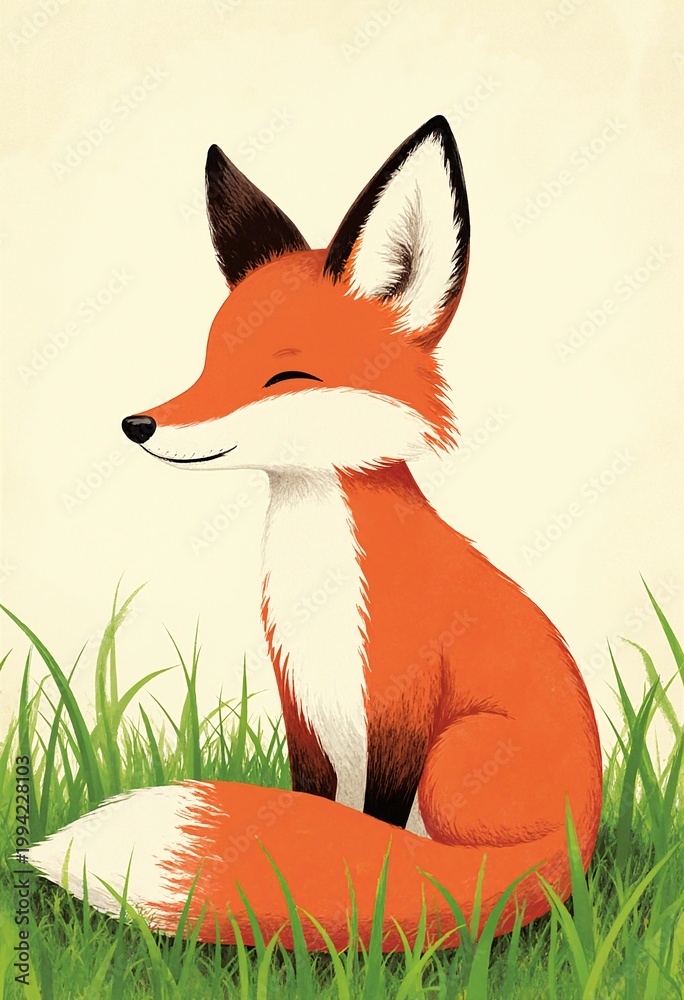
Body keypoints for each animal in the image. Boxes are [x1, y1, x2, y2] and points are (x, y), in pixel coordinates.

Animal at [29, 116, 602, 951]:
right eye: (209, 362)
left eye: (284, 378)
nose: (140, 424)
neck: (321, 583)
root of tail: (579, 846)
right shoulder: (304, 706)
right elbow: (318, 814)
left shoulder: (399, 709)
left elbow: (374, 839)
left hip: (462, 754)